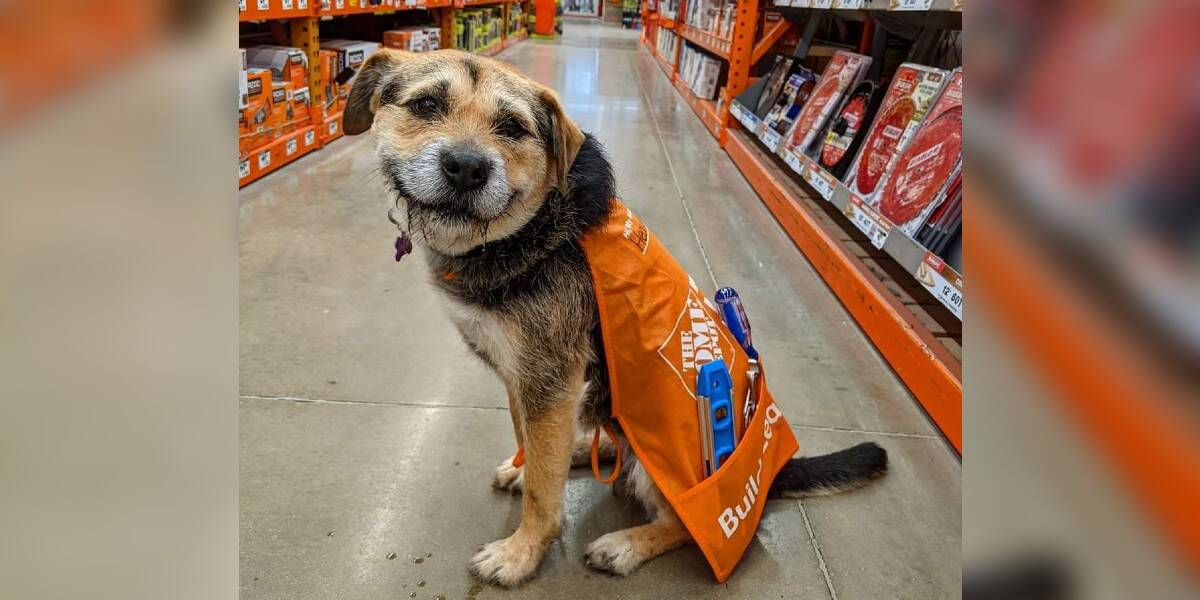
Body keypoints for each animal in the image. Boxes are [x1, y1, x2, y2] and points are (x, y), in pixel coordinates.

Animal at [343, 49, 888, 588]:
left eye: (513, 127)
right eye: (426, 104)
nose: (466, 167)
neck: (529, 232)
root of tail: (771, 475)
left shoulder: (550, 380)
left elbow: (543, 492)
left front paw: (522, 552)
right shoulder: (526, 378)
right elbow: (530, 444)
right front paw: (526, 468)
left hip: (675, 468)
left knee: (681, 524)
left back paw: (625, 544)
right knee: (604, 445)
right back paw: (582, 449)